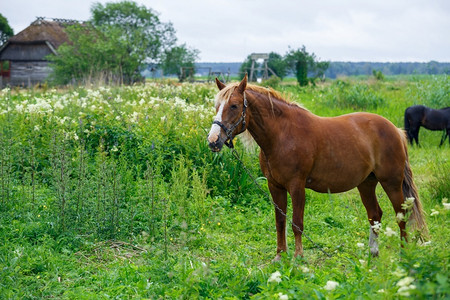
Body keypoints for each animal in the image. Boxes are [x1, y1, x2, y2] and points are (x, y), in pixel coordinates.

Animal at [209, 75, 428, 260]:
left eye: (234, 106)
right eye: (216, 106)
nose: (213, 141)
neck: (282, 135)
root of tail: (396, 130)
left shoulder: (297, 186)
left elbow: (297, 223)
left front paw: (298, 258)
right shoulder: (275, 186)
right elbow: (280, 222)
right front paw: (280, 256)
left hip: (391, 182)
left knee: (401, 215)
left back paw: (403, 253)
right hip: (366, 184)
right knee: (375, 214)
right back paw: (372, 254)